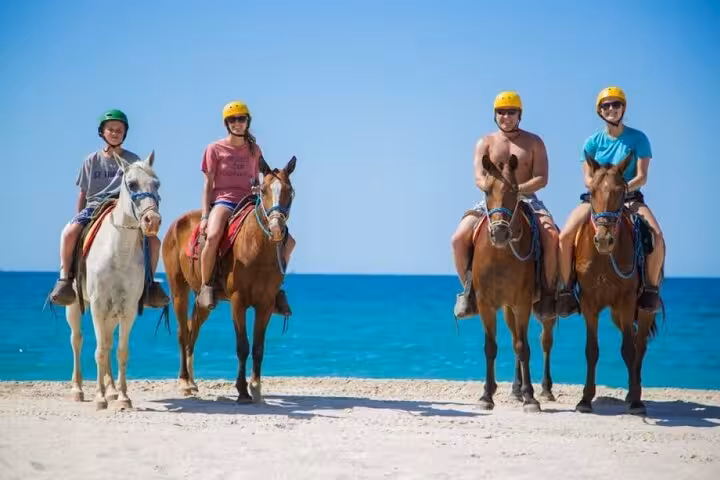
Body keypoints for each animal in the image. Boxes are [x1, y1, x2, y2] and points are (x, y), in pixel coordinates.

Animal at [65, 151, 163, 410]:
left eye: (157, 184)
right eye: (132, 184)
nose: (152, 221)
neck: (119, 251)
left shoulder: (128, 309)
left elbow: (120, 351)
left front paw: (122, 397)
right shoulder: (98, 306)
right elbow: (99, 351)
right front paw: (100, 398)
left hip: (112, 313)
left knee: (108, 341)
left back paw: (110, 390)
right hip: (75, 305)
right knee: (77, 340)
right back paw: (78, 390)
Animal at [162, 156, 296, 403]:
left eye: (289, 191)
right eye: (263, 190)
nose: (276, 228)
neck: (256, 247)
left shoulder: (265, 304)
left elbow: (258, 347)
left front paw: (256, 388)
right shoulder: (238, 301)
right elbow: (242, 346)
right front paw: (242, 390)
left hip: (203, 300)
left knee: (192, 329)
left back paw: (192, 382)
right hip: (178, 290)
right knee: (183, 332)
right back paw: (184, 382)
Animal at [471, 154, 555, 413]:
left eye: (515, 190)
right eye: (487, 190)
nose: (499, 232)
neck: (500, 256)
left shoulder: (524, 303)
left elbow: (523, 347)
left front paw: (531, 397)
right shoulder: (486, 304)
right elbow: (491, 347)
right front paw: (487, 395)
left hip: (544, 311)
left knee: (545, 342)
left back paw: (545, 390)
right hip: (509, 309)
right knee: (515, 338)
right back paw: (516, 390)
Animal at [573, 151, 658, 415]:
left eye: (621, 191)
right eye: (591, 191)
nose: (604, 239)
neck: (604, 258)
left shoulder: (627, 301)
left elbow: (629, 349)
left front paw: (636, 402)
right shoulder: (590, 303)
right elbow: (591, 350)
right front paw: (585, 400)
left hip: (642, 309)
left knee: (639, 345)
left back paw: (635, 393)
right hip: (616, 314)